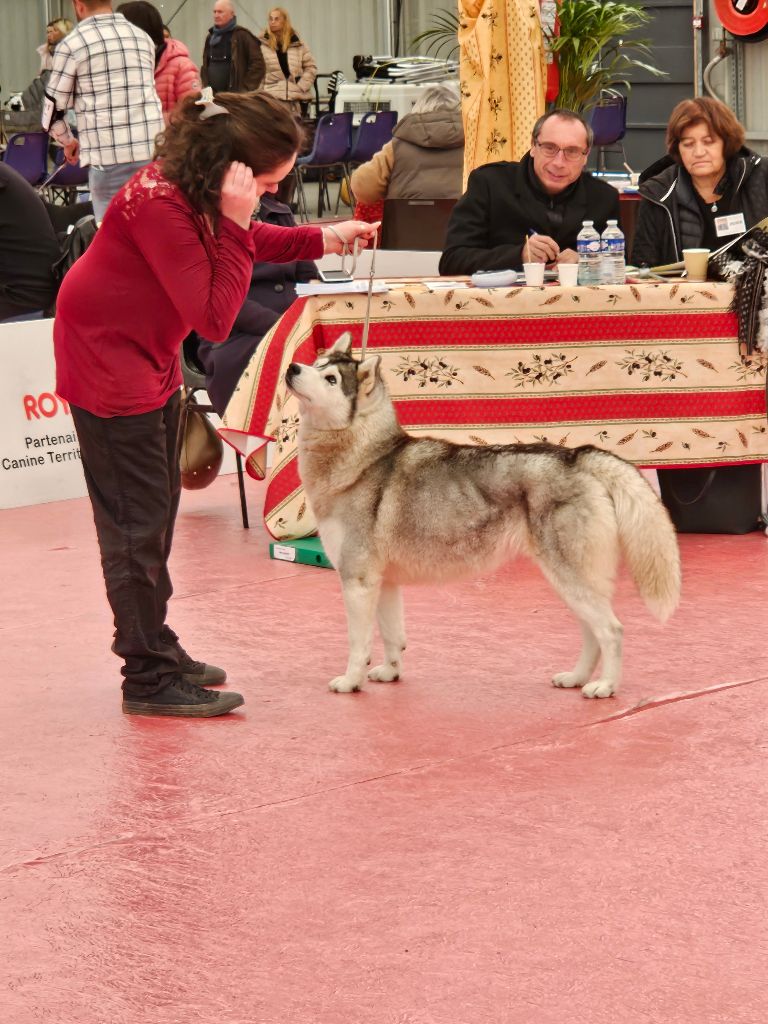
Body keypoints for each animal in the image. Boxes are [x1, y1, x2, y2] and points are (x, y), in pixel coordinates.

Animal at [286, 333, 684, 696]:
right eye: (317, 361)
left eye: (331, 379)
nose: (292, 367)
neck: (363, 456)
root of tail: (577, 456)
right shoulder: (384, 582)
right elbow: (392, 636)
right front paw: (390, 672)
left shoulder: (357, 580)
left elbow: (359, 643)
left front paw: (350, 681)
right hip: (571, 584)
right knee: (592, 633)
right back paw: (576, 678)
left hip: (571, 578)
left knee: (611, 631)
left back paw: (604, 686)